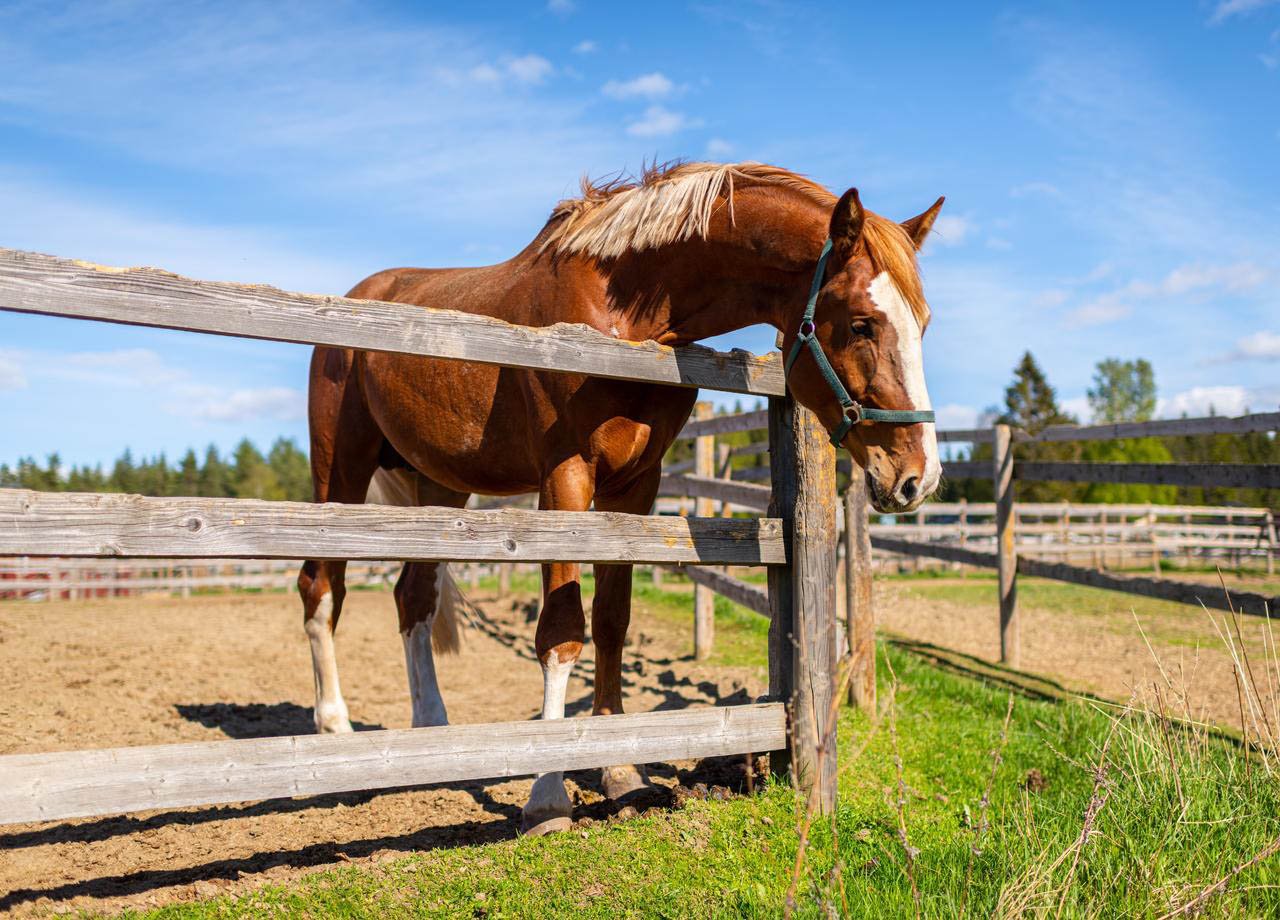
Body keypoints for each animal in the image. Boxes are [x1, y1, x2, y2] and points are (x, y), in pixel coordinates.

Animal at [296, 161, 942, 839]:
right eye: (862, 322)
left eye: (922, 324)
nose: (918, 478)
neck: (623, 316)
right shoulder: (565, 479)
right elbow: (562, 631)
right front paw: (547, 797)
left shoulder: (635, 487)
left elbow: (611, 622)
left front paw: (620, 771)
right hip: (340, 472)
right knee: (321, 587)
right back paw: (335, 728)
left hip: (440, 487)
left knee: (412, 598)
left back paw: (433, 732)